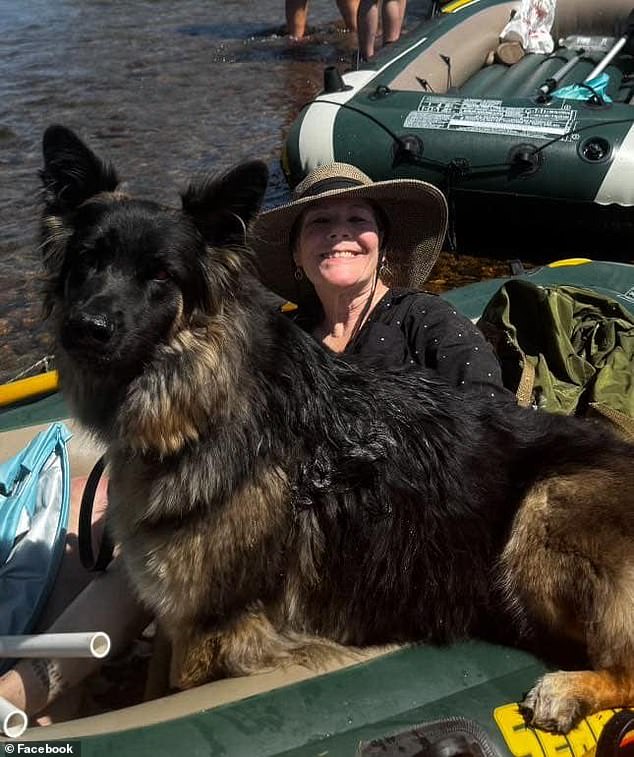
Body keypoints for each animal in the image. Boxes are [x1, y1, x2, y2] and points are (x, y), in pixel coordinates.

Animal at [39, 125, 632, 732]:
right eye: (87, 261)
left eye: (160, 275)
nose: (85, 329)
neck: (207, 407)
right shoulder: (176, 616)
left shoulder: (210, 630)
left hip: (542, 510)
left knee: (624, 668)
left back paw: (568, 690)